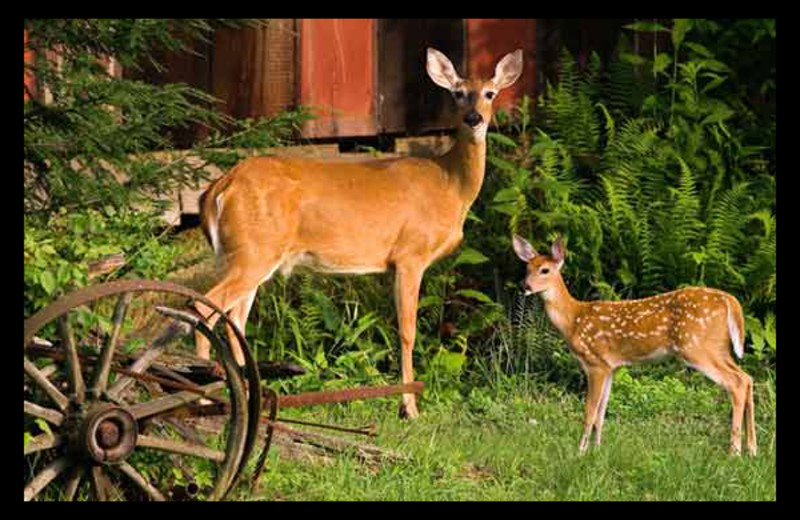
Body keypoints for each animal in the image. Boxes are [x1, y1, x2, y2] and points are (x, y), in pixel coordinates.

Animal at [191, 46, 520, 416]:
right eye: (458, 93)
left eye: (490, 93)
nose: (474, 119)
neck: (449, 184)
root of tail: (220, 187)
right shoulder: (410, 254)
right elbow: (407, 331)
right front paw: (410, 407)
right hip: (254, 251)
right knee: (205, 308)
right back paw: (202, 399)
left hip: (245, 255)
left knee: (234, 319)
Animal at [512, 236, 756, 456]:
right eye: (527, 268)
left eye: (545, 270)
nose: (524, 286)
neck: (573, 319)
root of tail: (730, 301)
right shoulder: (611, 366)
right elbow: (601, 413)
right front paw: (597, 450)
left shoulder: (595, 362)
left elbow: (589, 412)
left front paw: (580, 452)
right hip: (719, 348)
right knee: (747, 378)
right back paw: (752, 450)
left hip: (696, 347)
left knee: (736, 382)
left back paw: (734, 452)